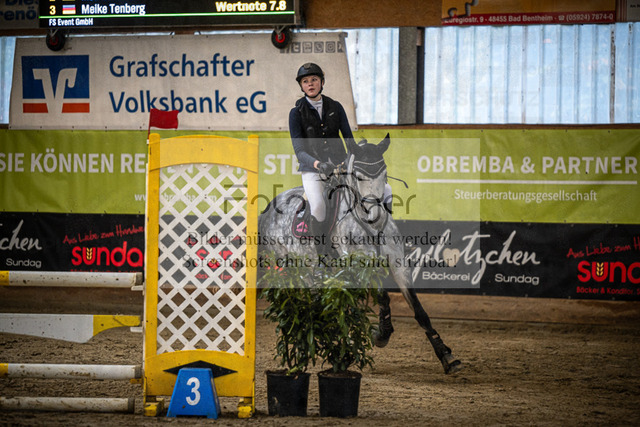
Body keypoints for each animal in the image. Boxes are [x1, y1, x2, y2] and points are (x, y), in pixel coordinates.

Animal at [258, 134, 463, 374]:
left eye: (384, 174)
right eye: (358, 176)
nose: (375, 217)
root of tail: (269, 208)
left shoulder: (399, 265)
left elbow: (419, 309)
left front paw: (446, 355)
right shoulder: (359, 267)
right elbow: (382, 296)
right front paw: (381, 335)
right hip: (296, 269)